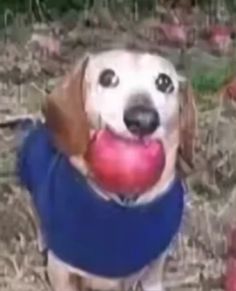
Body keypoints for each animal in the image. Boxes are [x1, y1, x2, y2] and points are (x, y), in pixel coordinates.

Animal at [18, 49, 198, 290]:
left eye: (164, 82)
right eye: (107, 77)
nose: (143, 120)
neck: (124, 204)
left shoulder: (155, 266)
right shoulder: (61, 270)